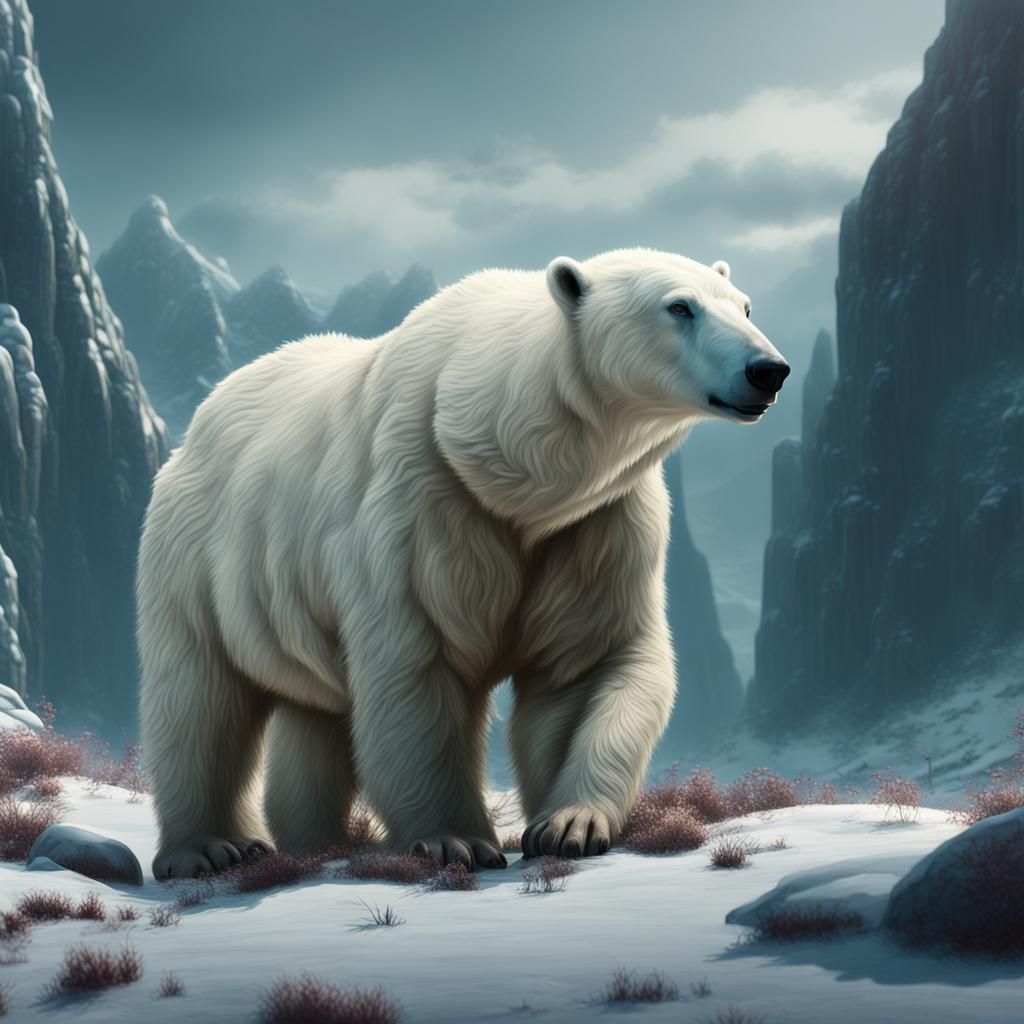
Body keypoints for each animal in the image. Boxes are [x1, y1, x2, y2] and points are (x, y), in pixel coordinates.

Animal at [137, 247, 789, 879]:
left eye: (745, 306)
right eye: (679, 307)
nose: (769, 370)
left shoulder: (594, 524)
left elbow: (585, 668)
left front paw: (569, 824)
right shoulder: (424, 501)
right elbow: (415, 674)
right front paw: (455, 840)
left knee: (315, 711)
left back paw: (315, 841)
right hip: (196, 554)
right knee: (198, 698)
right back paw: (210, 849)